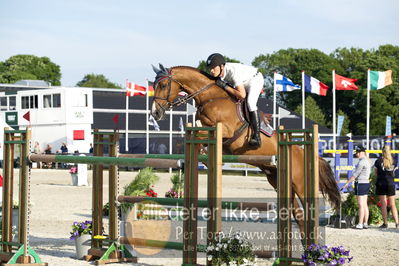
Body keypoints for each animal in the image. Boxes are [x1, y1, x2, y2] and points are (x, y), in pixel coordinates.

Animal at [151, 64, 340, 229]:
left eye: (163, 85)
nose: (155, 113)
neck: (210, 97)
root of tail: (302, 152)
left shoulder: (225, 130)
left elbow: (202, 132)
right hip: (278, 181)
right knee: (298, 215)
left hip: (299, 184)